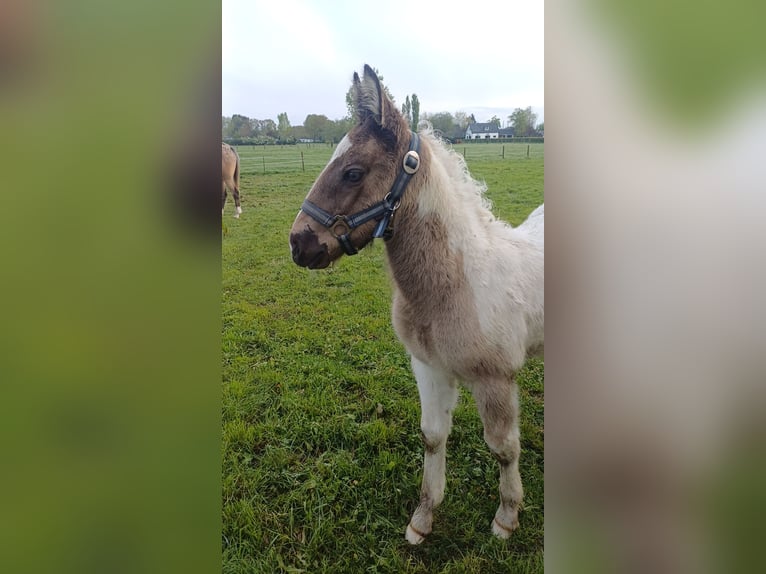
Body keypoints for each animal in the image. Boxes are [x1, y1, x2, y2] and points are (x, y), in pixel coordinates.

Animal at [290, 65, 544, 548]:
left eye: (353, 172)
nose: (298, 244)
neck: (454, 285)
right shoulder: (428, 367)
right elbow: (432, 437)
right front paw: (423, 519)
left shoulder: (496, 379)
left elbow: (504, 447)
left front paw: (506, 517)